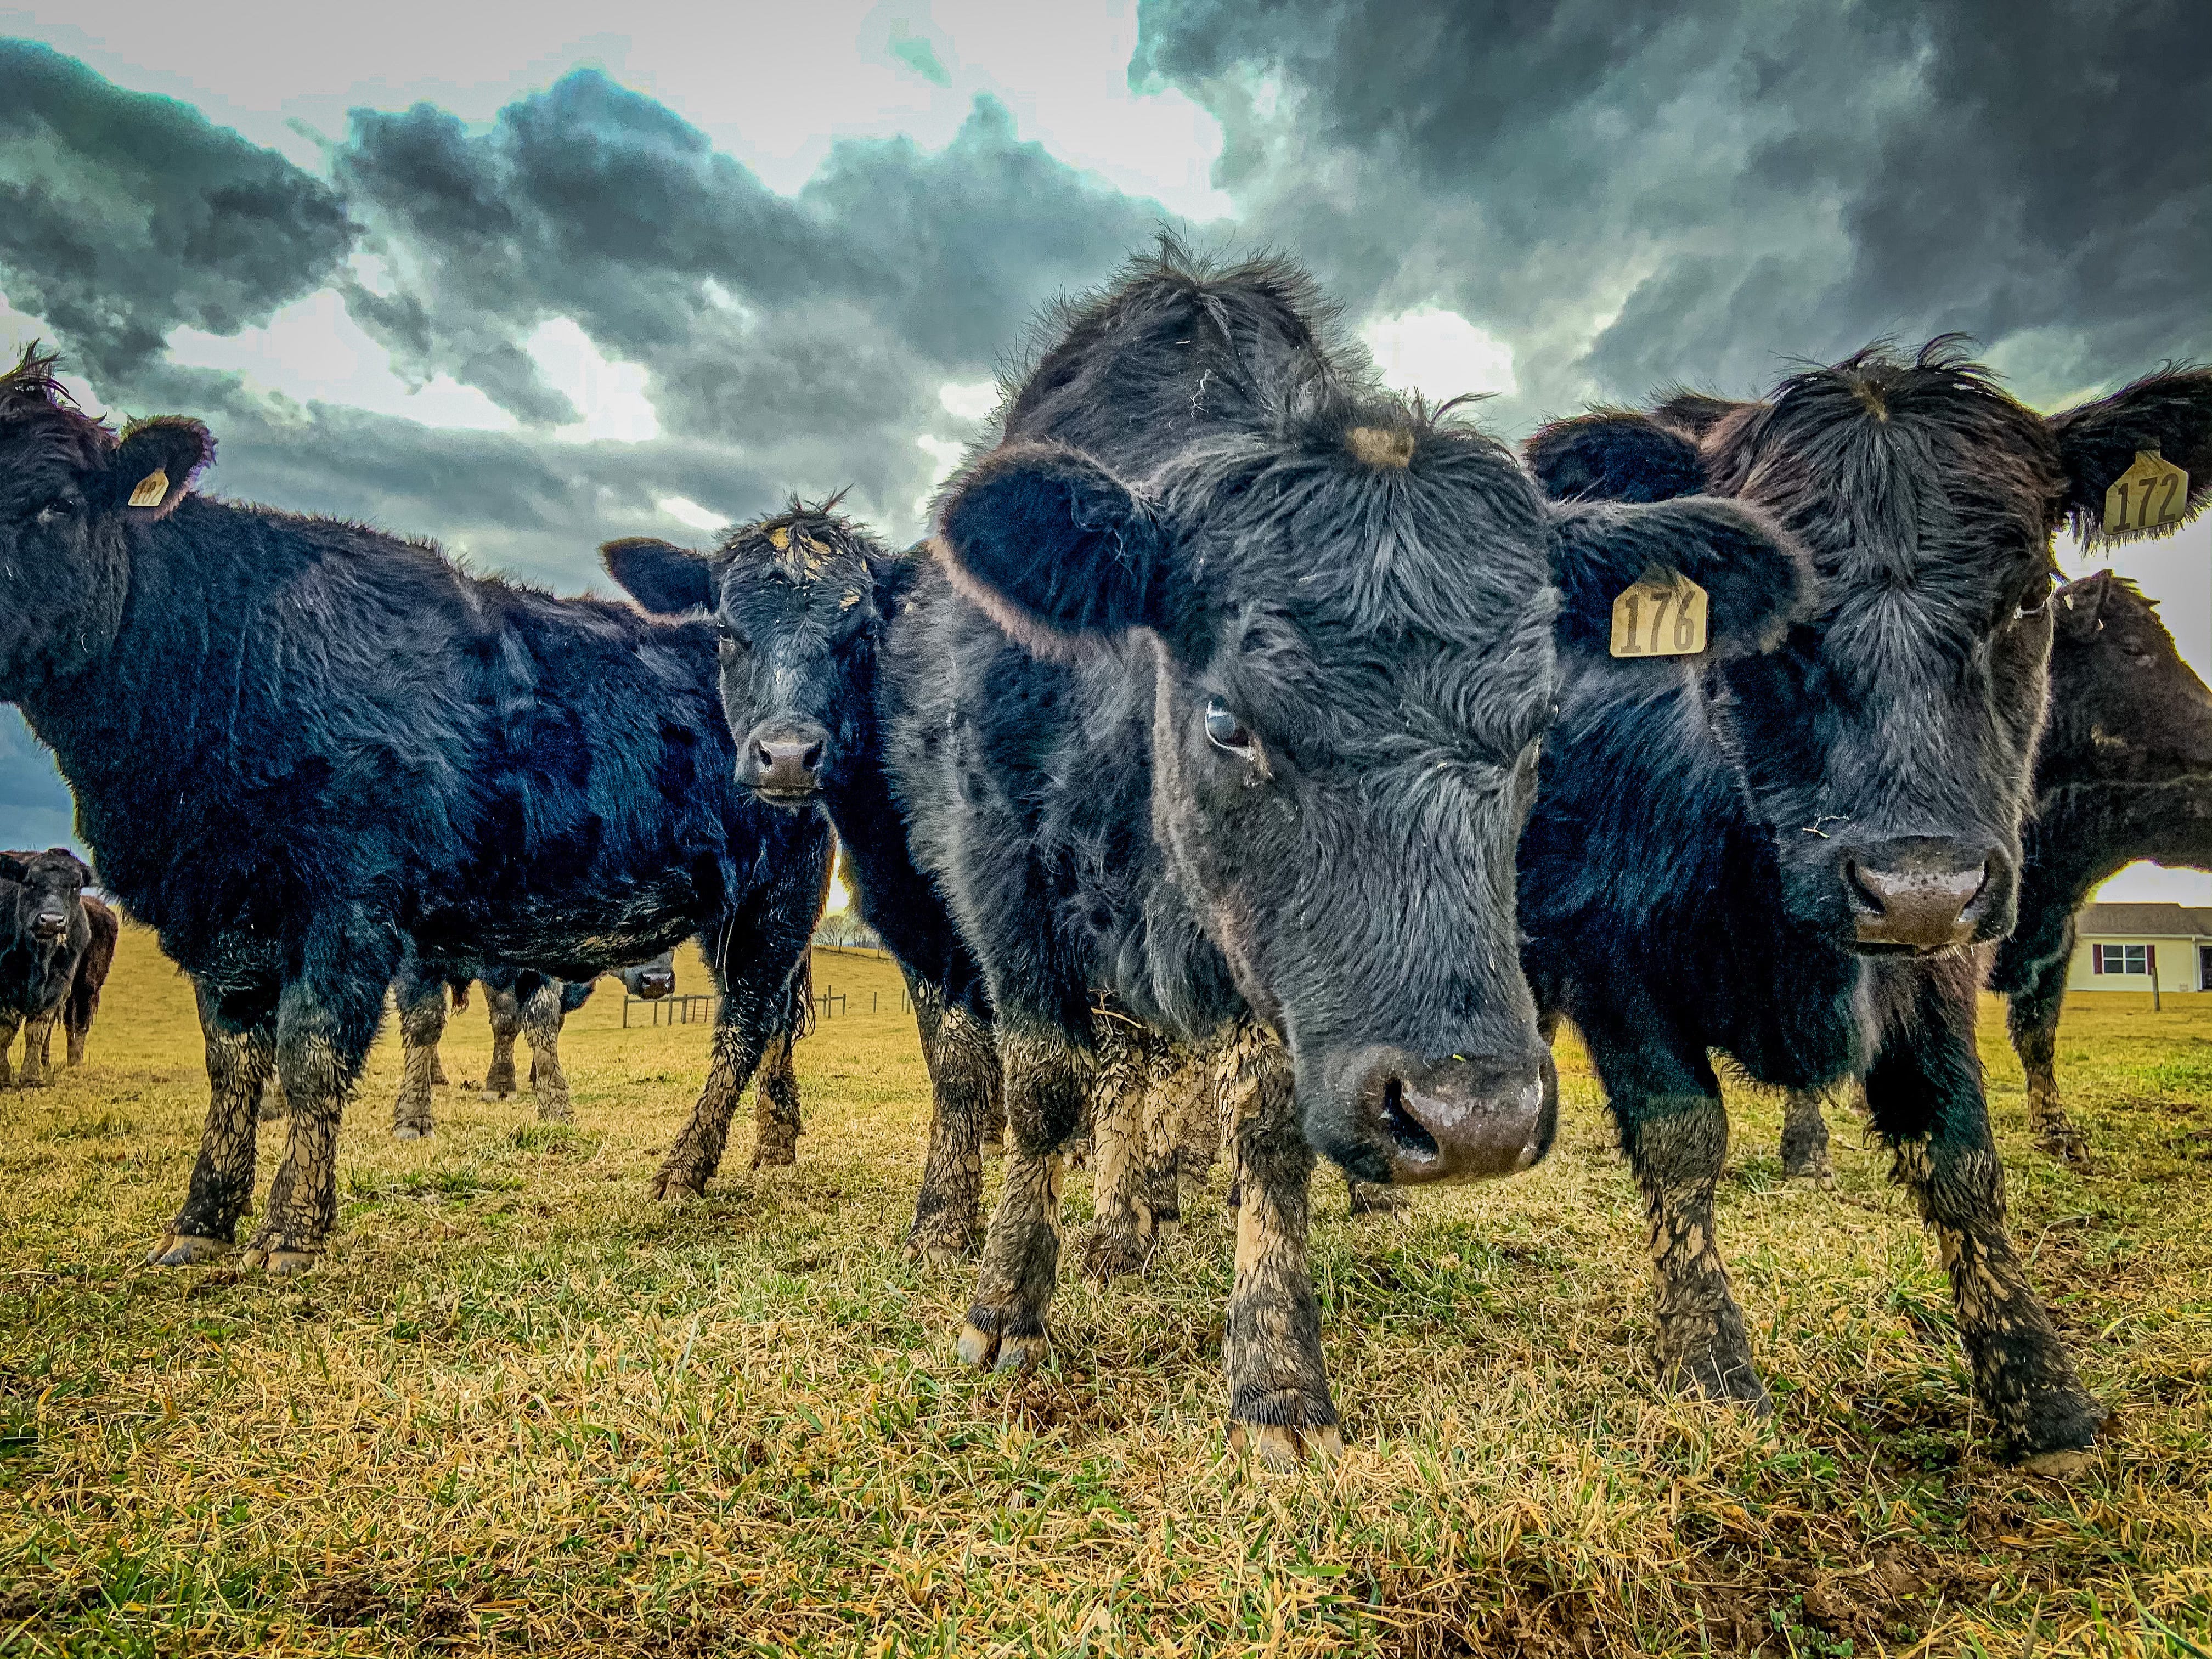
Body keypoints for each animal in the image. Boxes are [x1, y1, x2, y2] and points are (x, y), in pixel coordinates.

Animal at [0, 847, 92, 1086]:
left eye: (76, 885)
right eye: (30, 882)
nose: (51, 920)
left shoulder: (58, 986)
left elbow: (37, 1030)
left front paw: (32, 1076)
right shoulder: (6, 988)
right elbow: (5, 1030)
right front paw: (4, 1075)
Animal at [858, 245, 1810, 1466]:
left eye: (1543, 723)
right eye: (1228, 719)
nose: (1472, 1118)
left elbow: (1265, 1128)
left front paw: (1274, 1371)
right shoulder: (1001, 883)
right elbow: (1044, 1092)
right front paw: (1003, 1305)